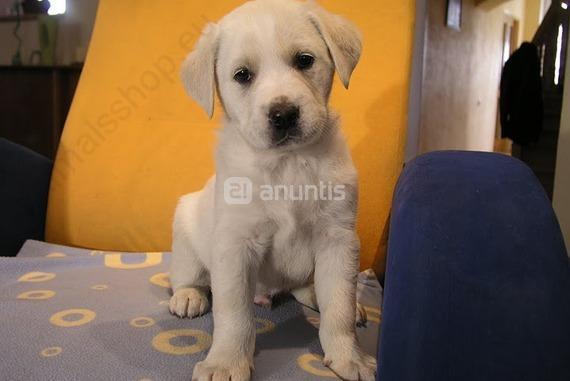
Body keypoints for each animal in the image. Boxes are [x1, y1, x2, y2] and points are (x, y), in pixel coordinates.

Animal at [169, 1, 372, 378]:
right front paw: (225, 362)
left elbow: (338, 307)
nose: (284, 114)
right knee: (188, 276)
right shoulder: (235, 246)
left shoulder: (337, 240)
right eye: (242, 75)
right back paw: (189, 296)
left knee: (310, 288)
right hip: (186, 234)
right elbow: (234, 314)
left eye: (304, 60)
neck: (287, 164)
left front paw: (349, 356)